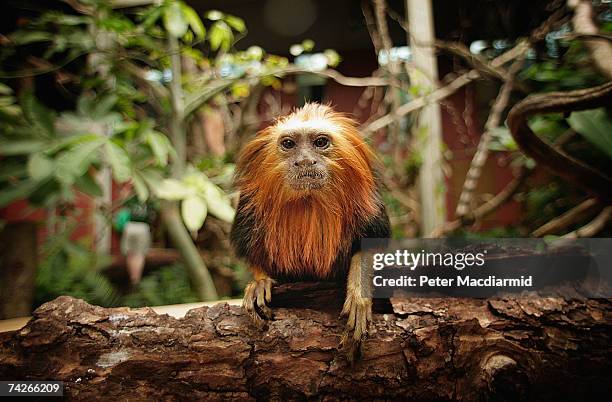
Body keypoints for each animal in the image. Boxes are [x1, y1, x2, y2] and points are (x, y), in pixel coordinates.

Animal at [232, 103, 390, 358]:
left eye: (320, 142)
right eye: (289, 144)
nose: (305, 161)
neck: (309, 203)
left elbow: (368, 245)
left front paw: (358, 295)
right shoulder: (250, 207)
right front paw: (260, 284)